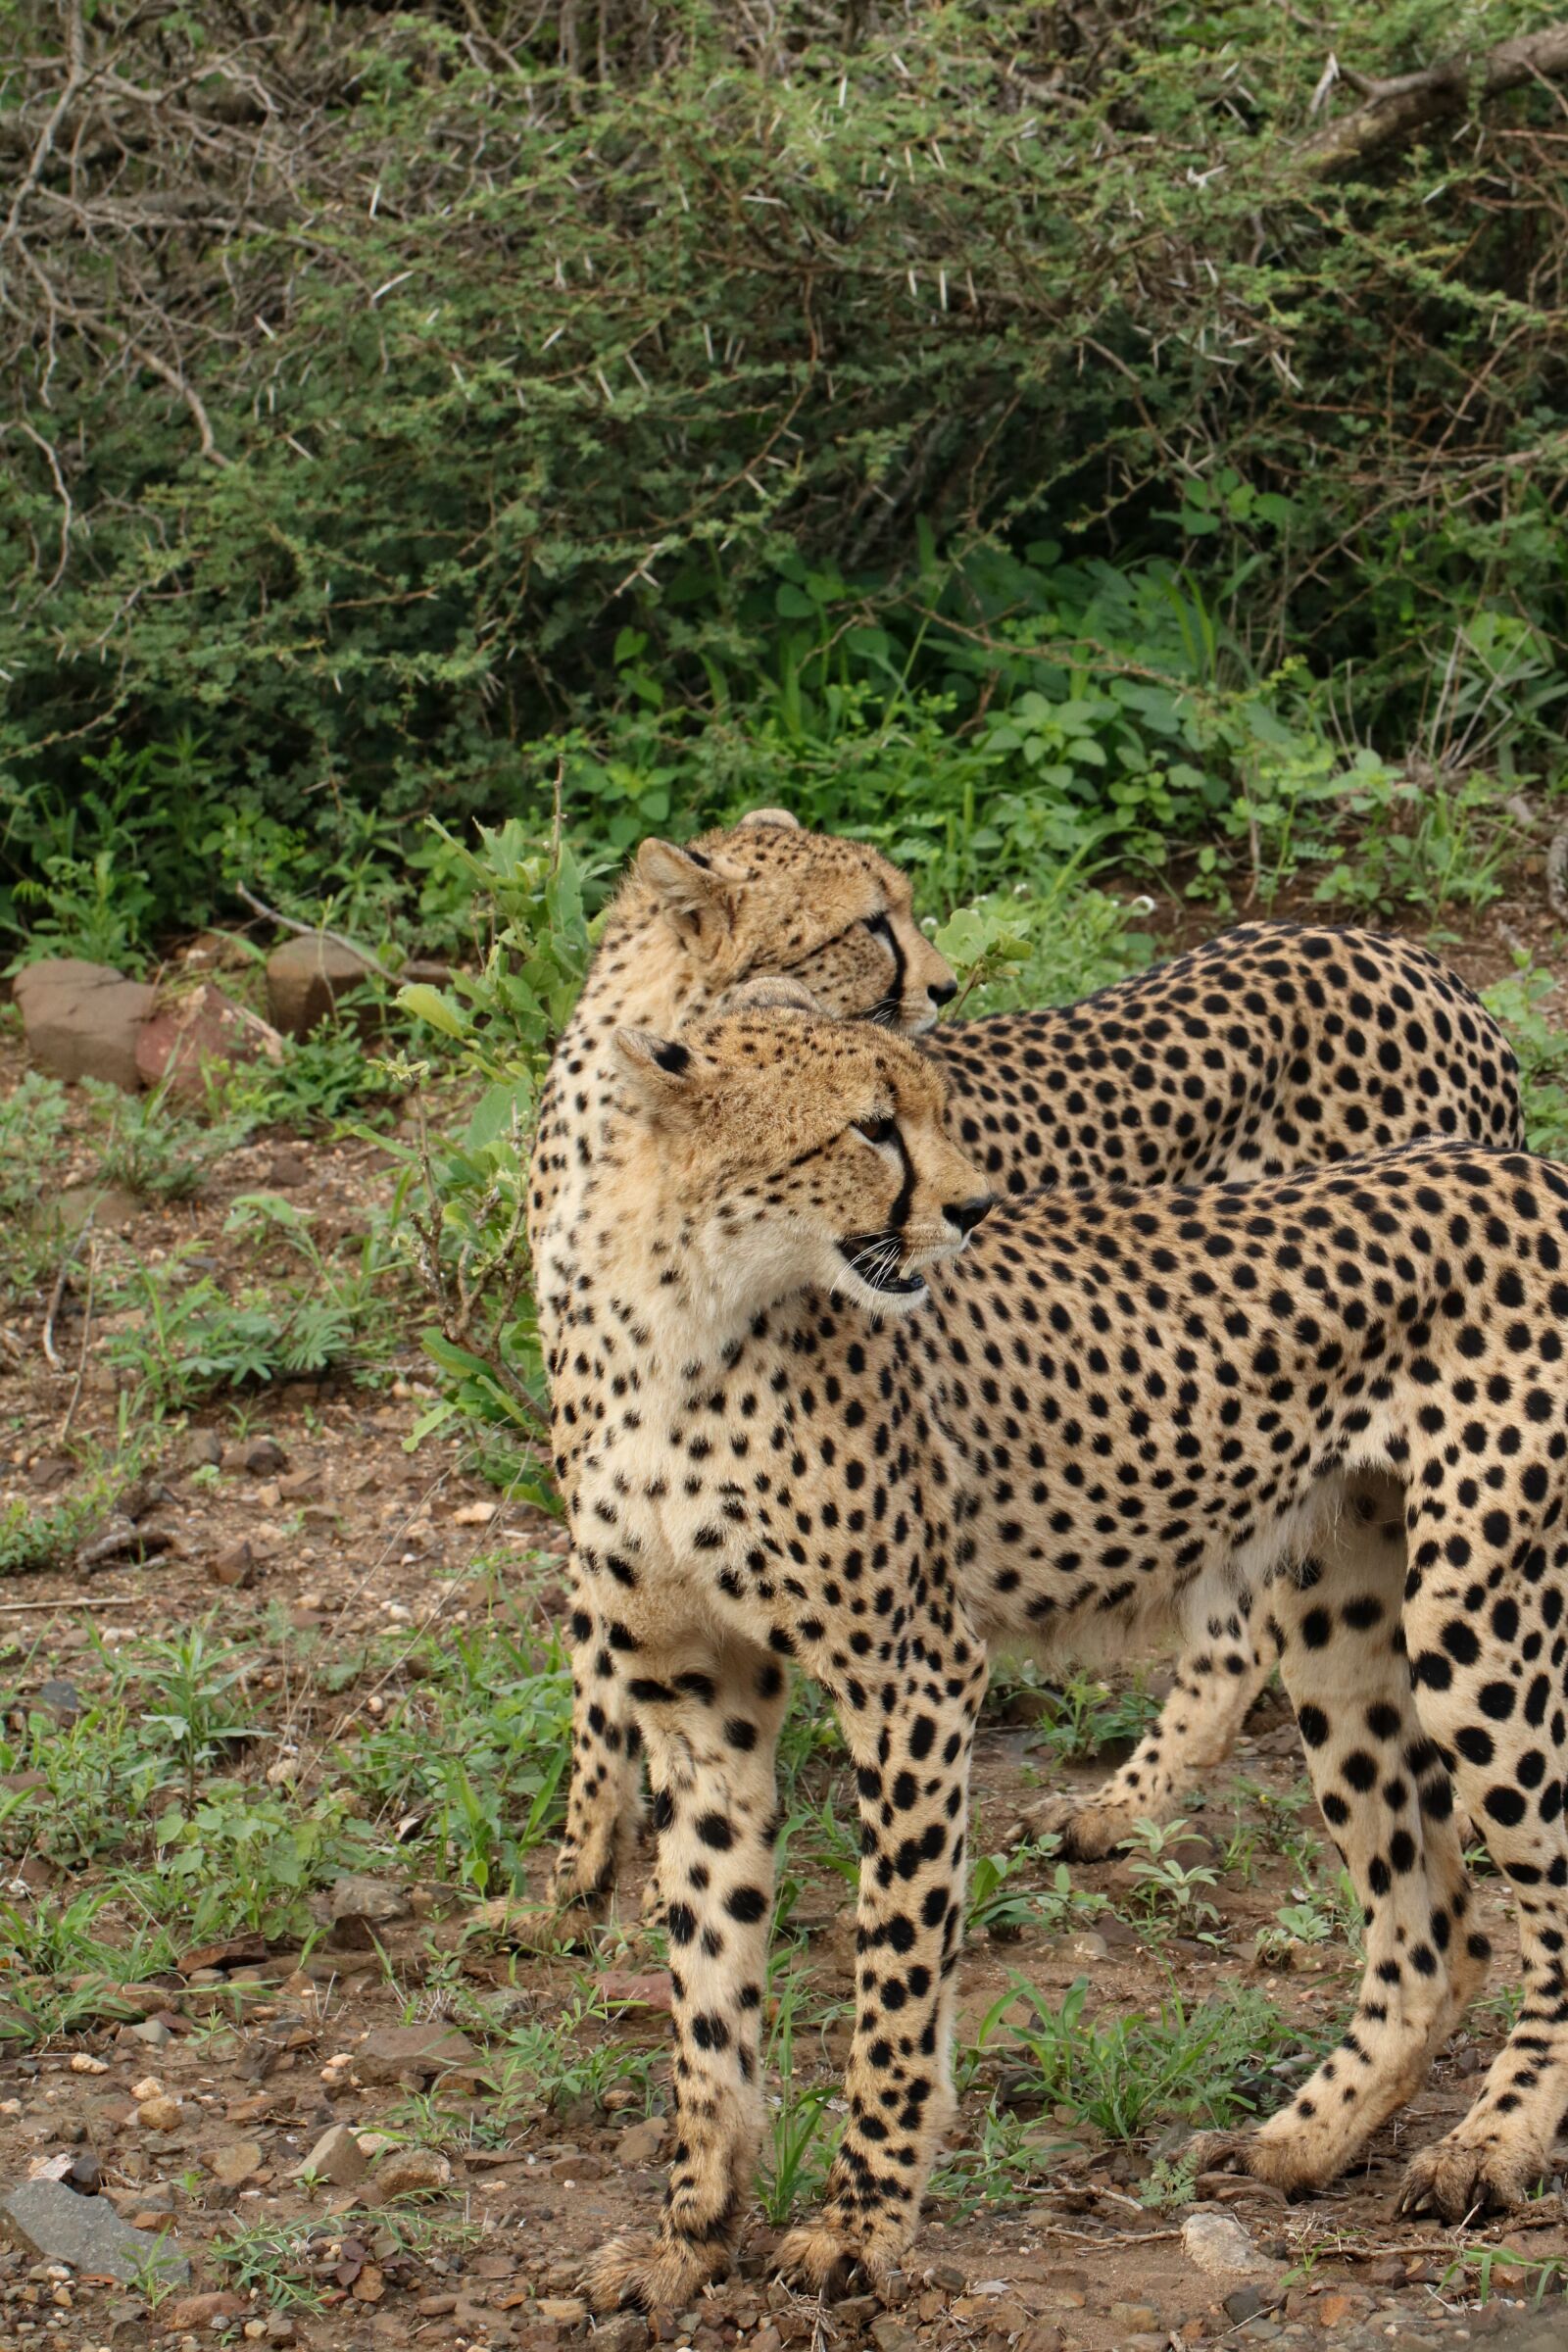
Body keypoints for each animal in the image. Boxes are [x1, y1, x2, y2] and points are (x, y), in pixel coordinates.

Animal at [531, 810, 1522, 1915]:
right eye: (866, 925)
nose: (945, 987)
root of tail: (1421, 963)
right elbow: (601, 1651)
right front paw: (584, 1859)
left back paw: (1127, 1802)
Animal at [559, 996, 1568, 2310]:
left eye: (929, 1108)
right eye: (870, 1126)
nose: (975, 1210)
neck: (684, 1312)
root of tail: (1531, 1168)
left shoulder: (914, 1677)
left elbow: (894, 1969)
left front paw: (859, 2227)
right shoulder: (696, 1701)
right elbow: (707, 1994)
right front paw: (689, 2234)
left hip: (1476, 1621)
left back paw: (1490, 2145)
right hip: (1340, 1620)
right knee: (1433, 1922)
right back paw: (1312, 2137)